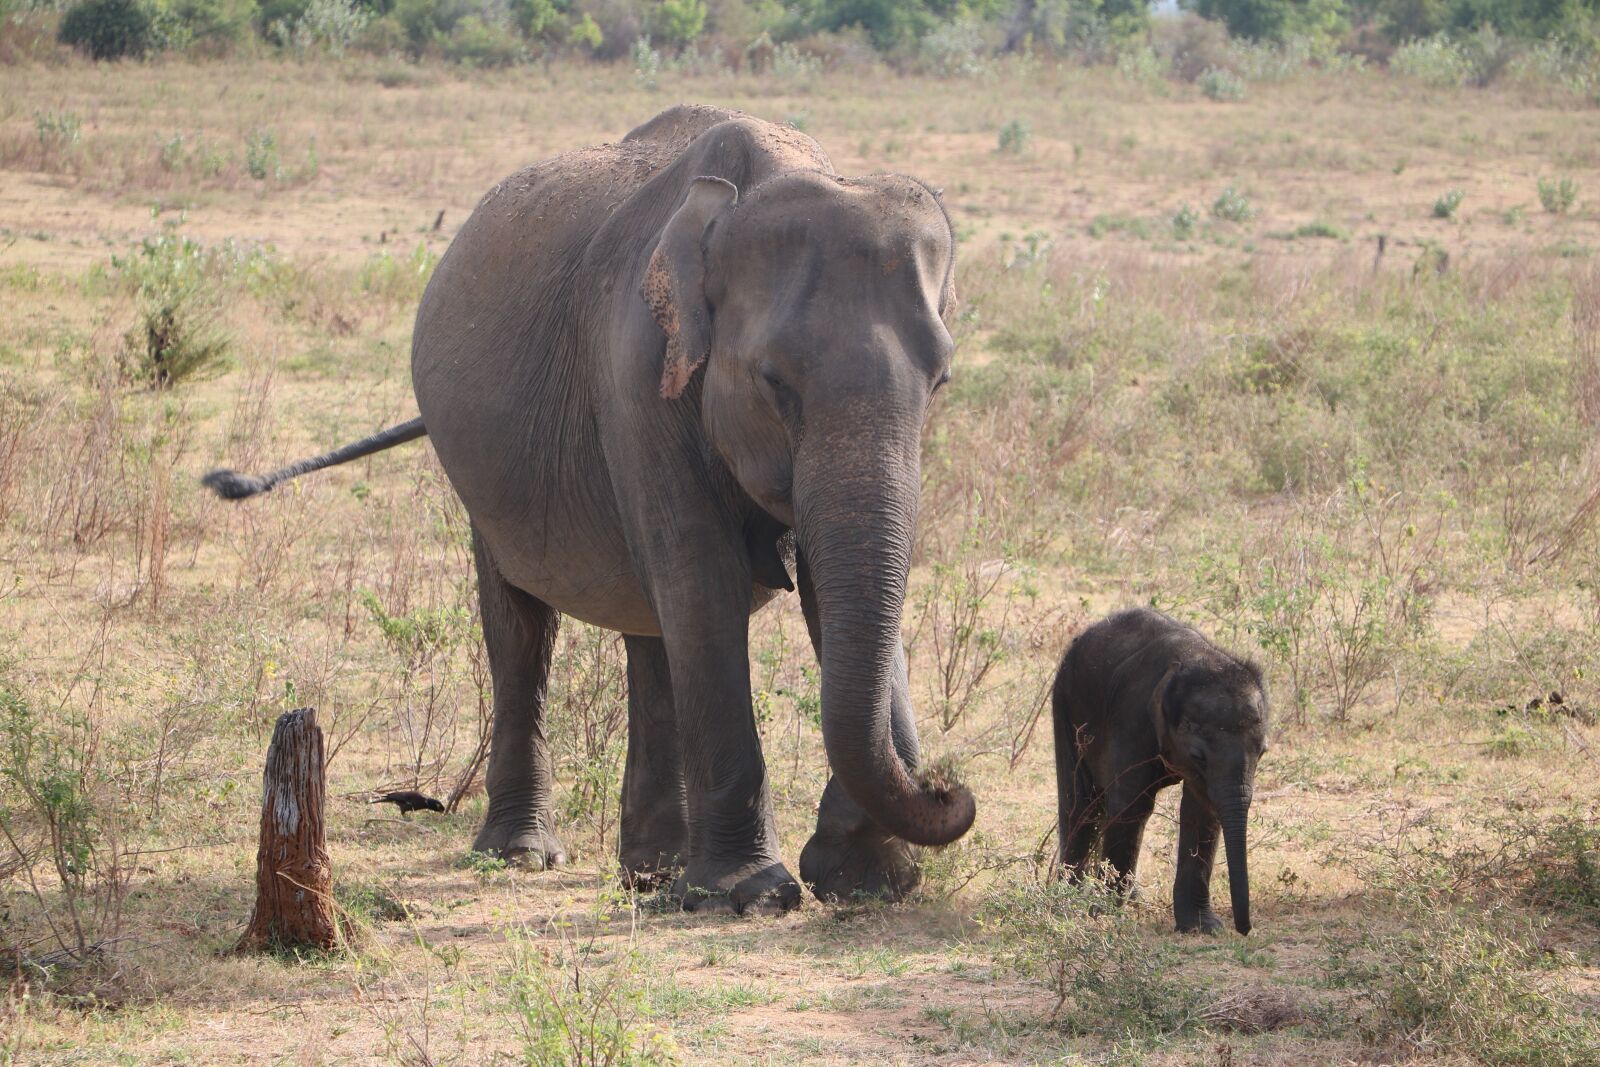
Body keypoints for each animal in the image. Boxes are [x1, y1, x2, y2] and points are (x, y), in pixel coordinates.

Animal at [202, 104, 975, 914]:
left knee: (649, 624)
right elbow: (704, 583)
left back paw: (652, 873)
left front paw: (865, 879)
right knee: (522, 624)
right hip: (481, 475)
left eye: (941, 380)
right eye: (773, 381)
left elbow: (820, 589)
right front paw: (753, 894)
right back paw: (524, 854)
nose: (947, 785)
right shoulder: (636, 376)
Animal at [1051, 607, 1268, 934]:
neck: (1195, 659)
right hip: (1065, 704)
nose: (1244, 929)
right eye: (1197, 756)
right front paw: (1104, 916)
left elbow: (1201, 809)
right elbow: (1131, 804)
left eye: (1263, 752)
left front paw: (1201, 928)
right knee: (1080, 803)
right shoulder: (1131, 719)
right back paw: (1066, 901)